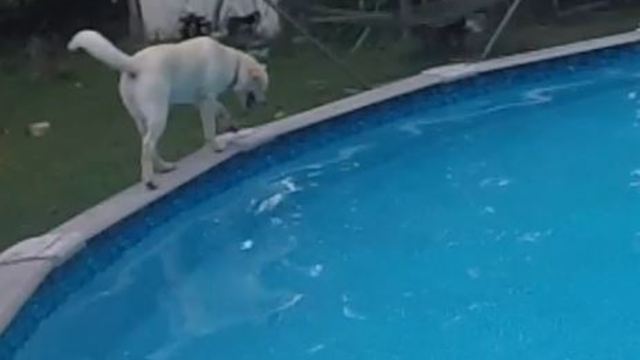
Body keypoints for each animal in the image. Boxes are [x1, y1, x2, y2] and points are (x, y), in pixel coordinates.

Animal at [69, 28, 268, 188]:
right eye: (262, 87)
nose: (265, 103)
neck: (233, 62)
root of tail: (133, 63)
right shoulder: (206, 100)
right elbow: (210, 129)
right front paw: (217, 146)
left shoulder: (203, 100)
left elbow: (223, 111)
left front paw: (231, 126)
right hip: (159, 115)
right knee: (147, 146)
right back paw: (149, 181)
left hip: (142, 120)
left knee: (148, 146)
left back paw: (164, 167)